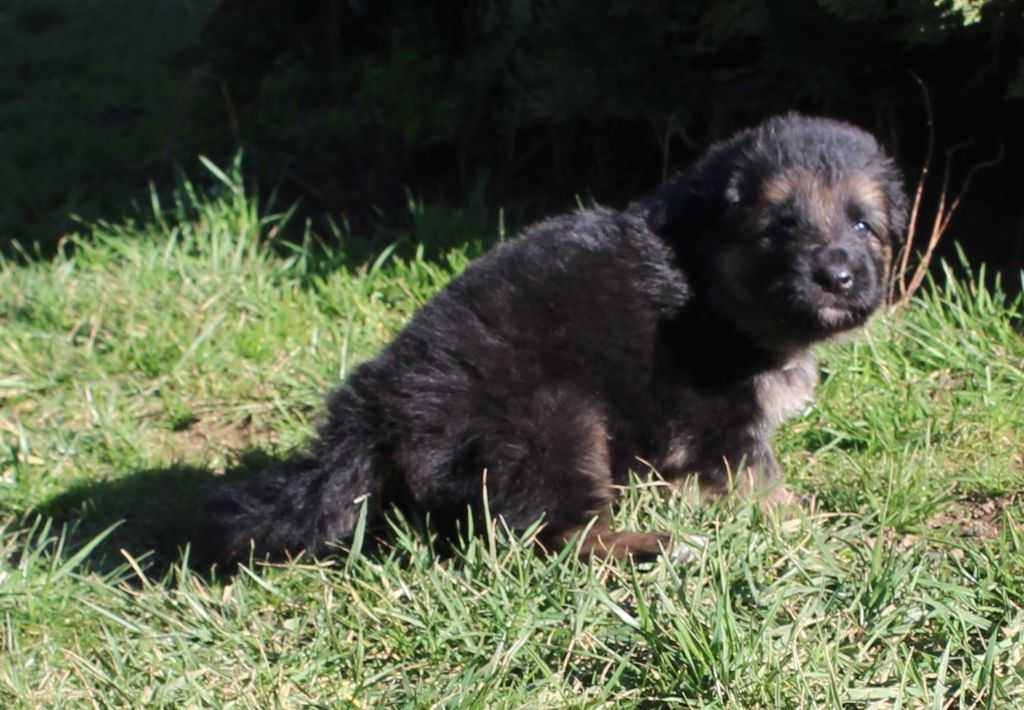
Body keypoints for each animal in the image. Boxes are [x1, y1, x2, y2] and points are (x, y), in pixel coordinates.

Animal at [196, 114, 908, 568]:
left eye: (864, 225)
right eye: (782, 227)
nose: (838, 277)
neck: (706, 276)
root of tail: (377, 401)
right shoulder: (722, 419)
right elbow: (762, 481)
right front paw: (808, 525)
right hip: (555, 425)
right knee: (553, 534)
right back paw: (657, 546)